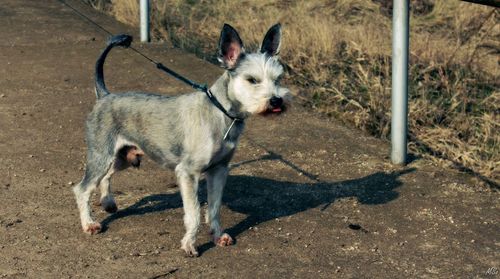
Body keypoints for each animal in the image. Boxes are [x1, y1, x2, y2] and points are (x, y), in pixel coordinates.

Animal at [73, 23, 292, 258]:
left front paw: (218, 236)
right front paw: (189, 244)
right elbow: (194, 213)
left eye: (278, 79)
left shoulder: (219, 170)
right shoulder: (188, 173)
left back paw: (108, 203)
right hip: (101, 155)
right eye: (252, 80)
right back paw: (89, 224)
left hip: (123, 157)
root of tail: (104, 96)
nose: (277, 100)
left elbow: (214, 208)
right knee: (82, 188)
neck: (219, 112)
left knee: (105, 177)